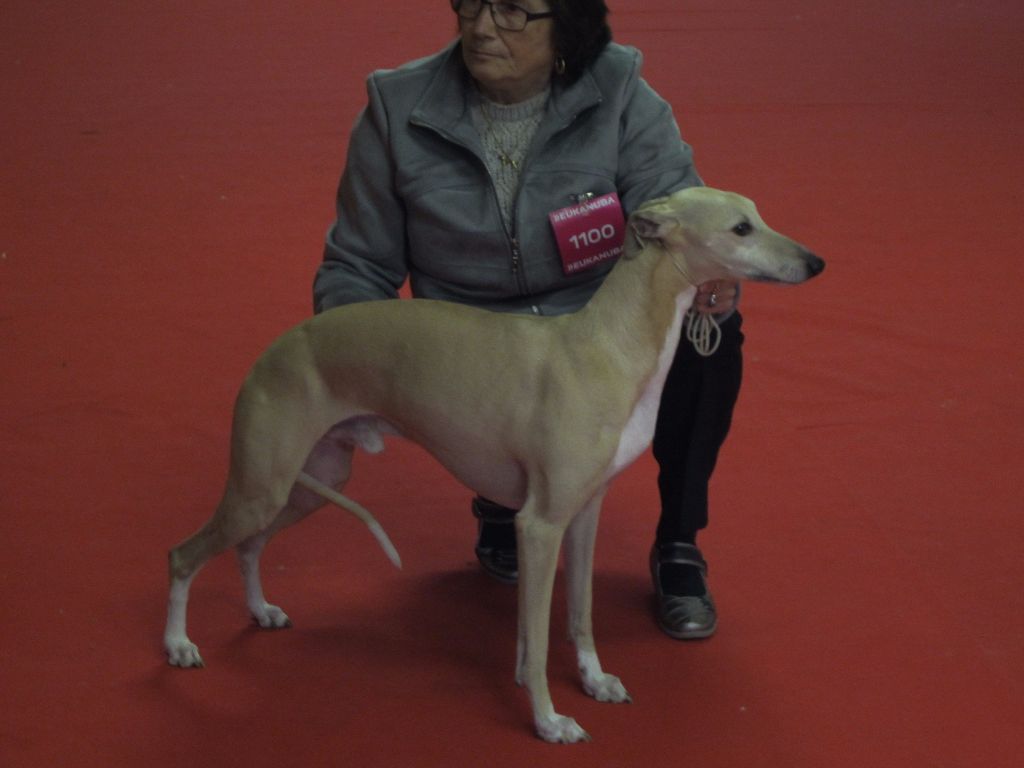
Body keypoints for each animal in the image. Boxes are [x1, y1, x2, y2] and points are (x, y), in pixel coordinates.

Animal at [165, 188, 823, 745]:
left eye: (758, 214)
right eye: (741, 228)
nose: (816, 263)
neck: (608, 344)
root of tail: (271, 351)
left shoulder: (582, 513)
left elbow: (577, 615)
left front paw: (594, 681)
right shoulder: (541, 523)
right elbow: (538, 638)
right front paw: (550, 721)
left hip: (309, 482)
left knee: (249, 545)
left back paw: (261, 611)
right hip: (263, 483)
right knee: (184, 555)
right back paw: (178, 646)